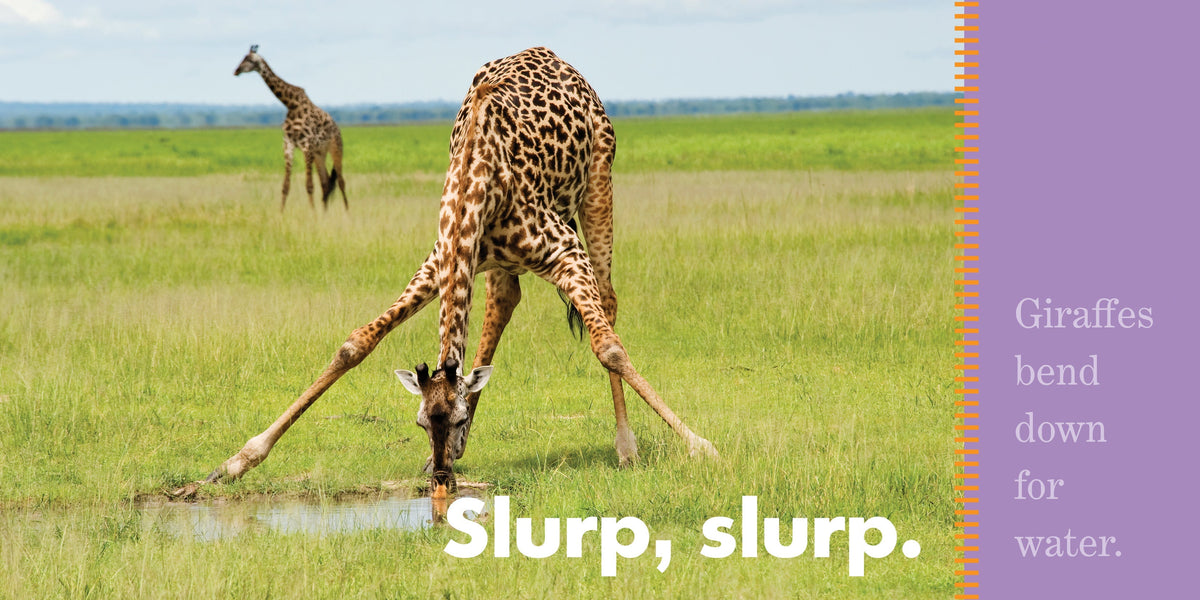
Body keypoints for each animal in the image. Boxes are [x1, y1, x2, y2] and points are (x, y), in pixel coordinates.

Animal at [234, 44, 348, 211]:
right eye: (243, 58)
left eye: (249, 59)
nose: (236, 71)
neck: (290, 104)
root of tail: (337, 128)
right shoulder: (288, 144)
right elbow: (286, 186)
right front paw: (281, 213)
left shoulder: (306, 146)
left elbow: (309, 185)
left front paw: (313, 214)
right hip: (319, 153)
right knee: (326, 183)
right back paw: (325, 213)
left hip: (336, 148)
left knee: (340, 181)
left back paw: (347, 213)